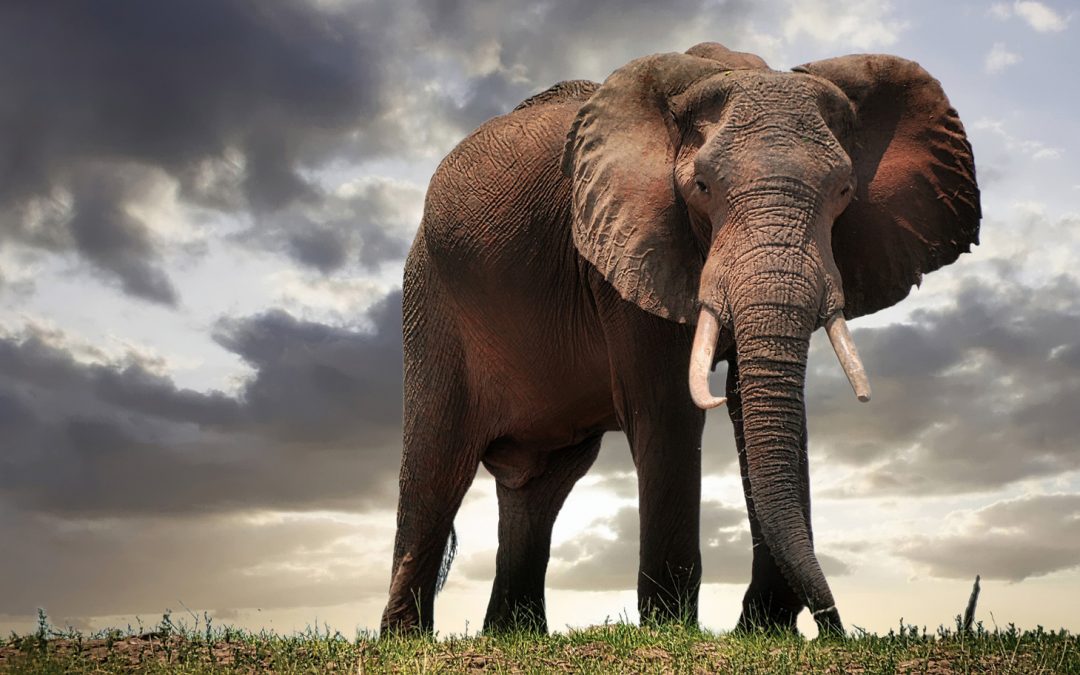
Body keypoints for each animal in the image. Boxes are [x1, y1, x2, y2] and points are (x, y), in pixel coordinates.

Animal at [380, 42, 979, 636]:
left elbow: (748, 404)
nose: (833, 630)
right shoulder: (625, 244)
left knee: (542, 486)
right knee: (437, 468)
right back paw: (407, 638)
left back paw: (513, 634)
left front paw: (762, 631)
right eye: (701, 188)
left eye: (844, 191)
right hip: (430, 300)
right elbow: (668, 407)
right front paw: (672, 628)